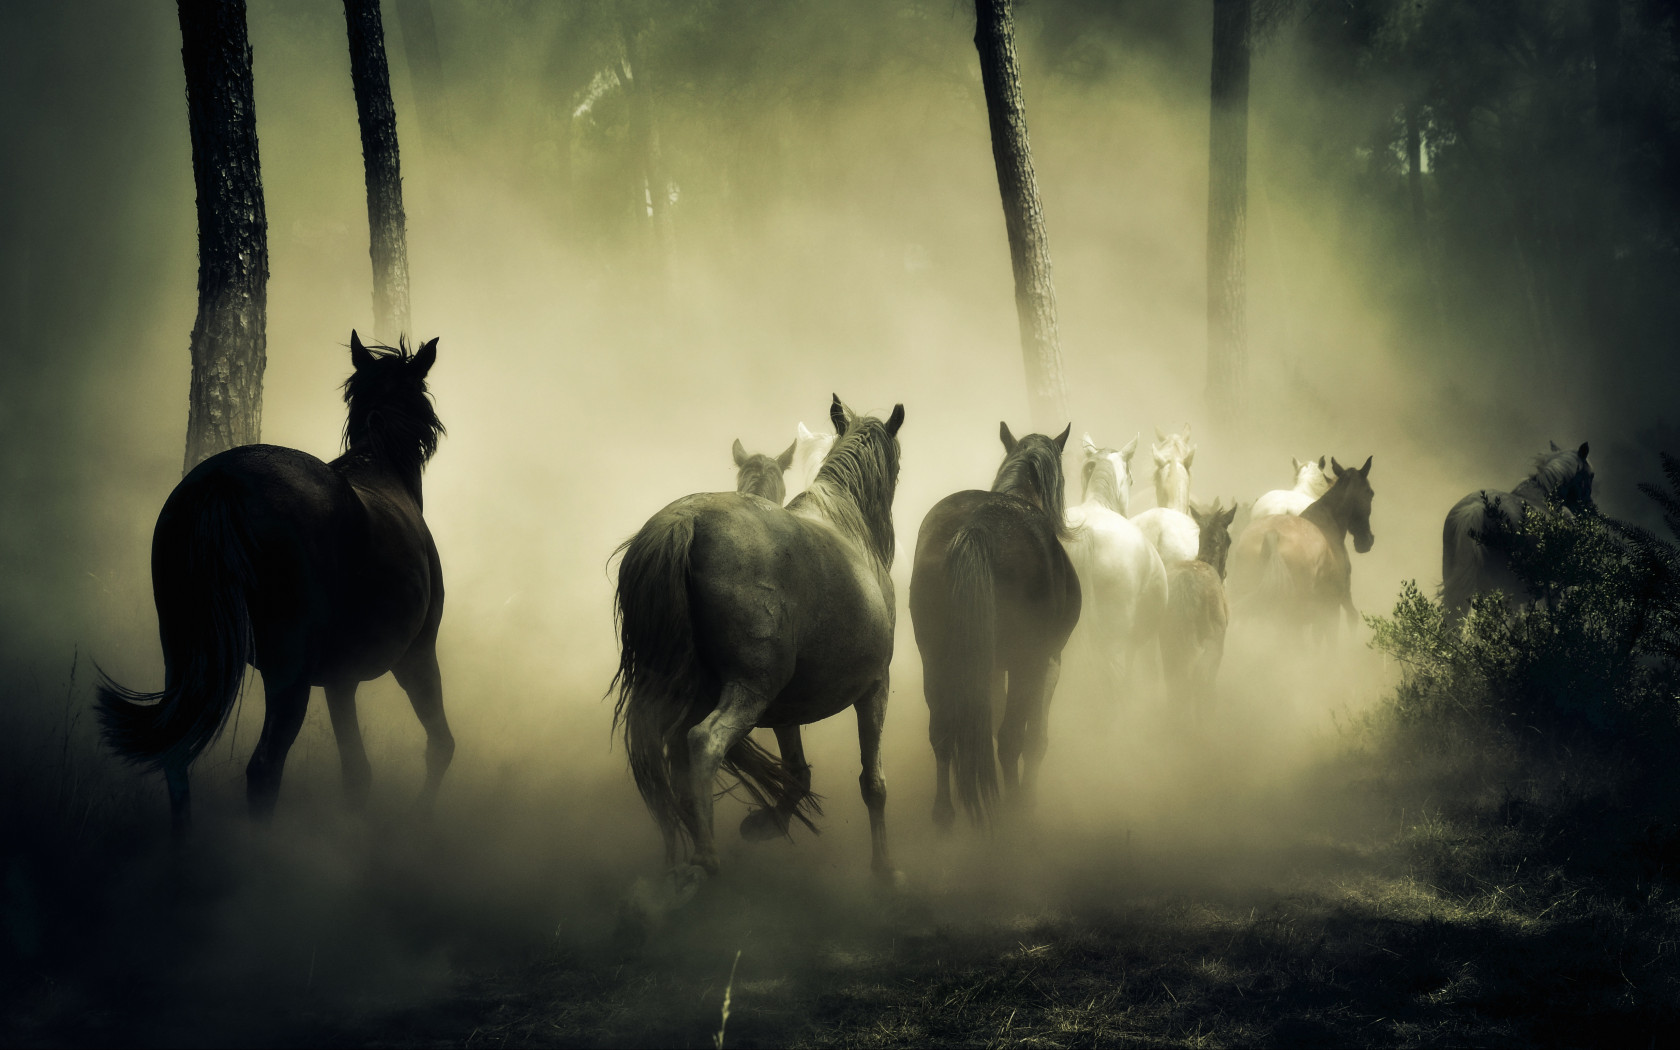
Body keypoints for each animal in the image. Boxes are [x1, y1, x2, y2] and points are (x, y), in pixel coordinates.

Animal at [97, 333, 454, 832]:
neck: (379, 466)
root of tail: (223, 479)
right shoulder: (416, 657)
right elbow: (439, 746)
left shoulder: (341, 681)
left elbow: (357, 774)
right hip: (290, 672)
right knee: (264, 769)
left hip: (184, 654)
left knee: (176, 760)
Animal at [612, 395, 905, 886]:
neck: (849, 526)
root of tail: (684, 522)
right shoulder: (874, 687)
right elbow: (874, 783)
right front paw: (885, 870)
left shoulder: (786, 707)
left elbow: (798, 773)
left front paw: (765, 823)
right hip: (750, 690)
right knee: (702, 743)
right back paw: (705, 858)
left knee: (656, 757)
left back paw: (675, 860)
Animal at [910, 422, 1081, 827]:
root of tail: (977, 527)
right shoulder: (1047, 661)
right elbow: (1034, 738)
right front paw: (1028, 798)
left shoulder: (988, 667)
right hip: (1023, 662)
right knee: (1009, 739)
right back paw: (1013, 811)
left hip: (936, 658)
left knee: (942, 731)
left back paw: (944, 812)